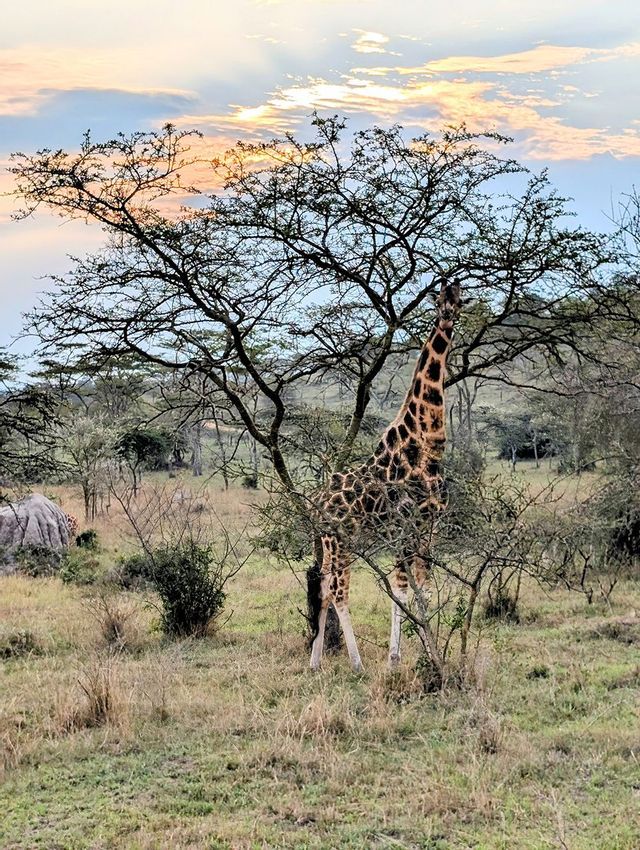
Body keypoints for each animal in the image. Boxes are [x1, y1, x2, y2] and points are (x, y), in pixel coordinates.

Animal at [308, 280, 462, 672]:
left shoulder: (424, 527)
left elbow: (414, 589)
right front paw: (409, 656)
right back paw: (357, 663)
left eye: (459, 299)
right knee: (339, 591)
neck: (427, 445)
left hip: (331, 543)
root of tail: (316, 502)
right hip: (341, 540)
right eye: (440, 299)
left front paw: (417, 655)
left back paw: (315, 662)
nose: (448, 315)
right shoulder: (409, 526)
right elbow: (410, 590)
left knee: (323, 586)